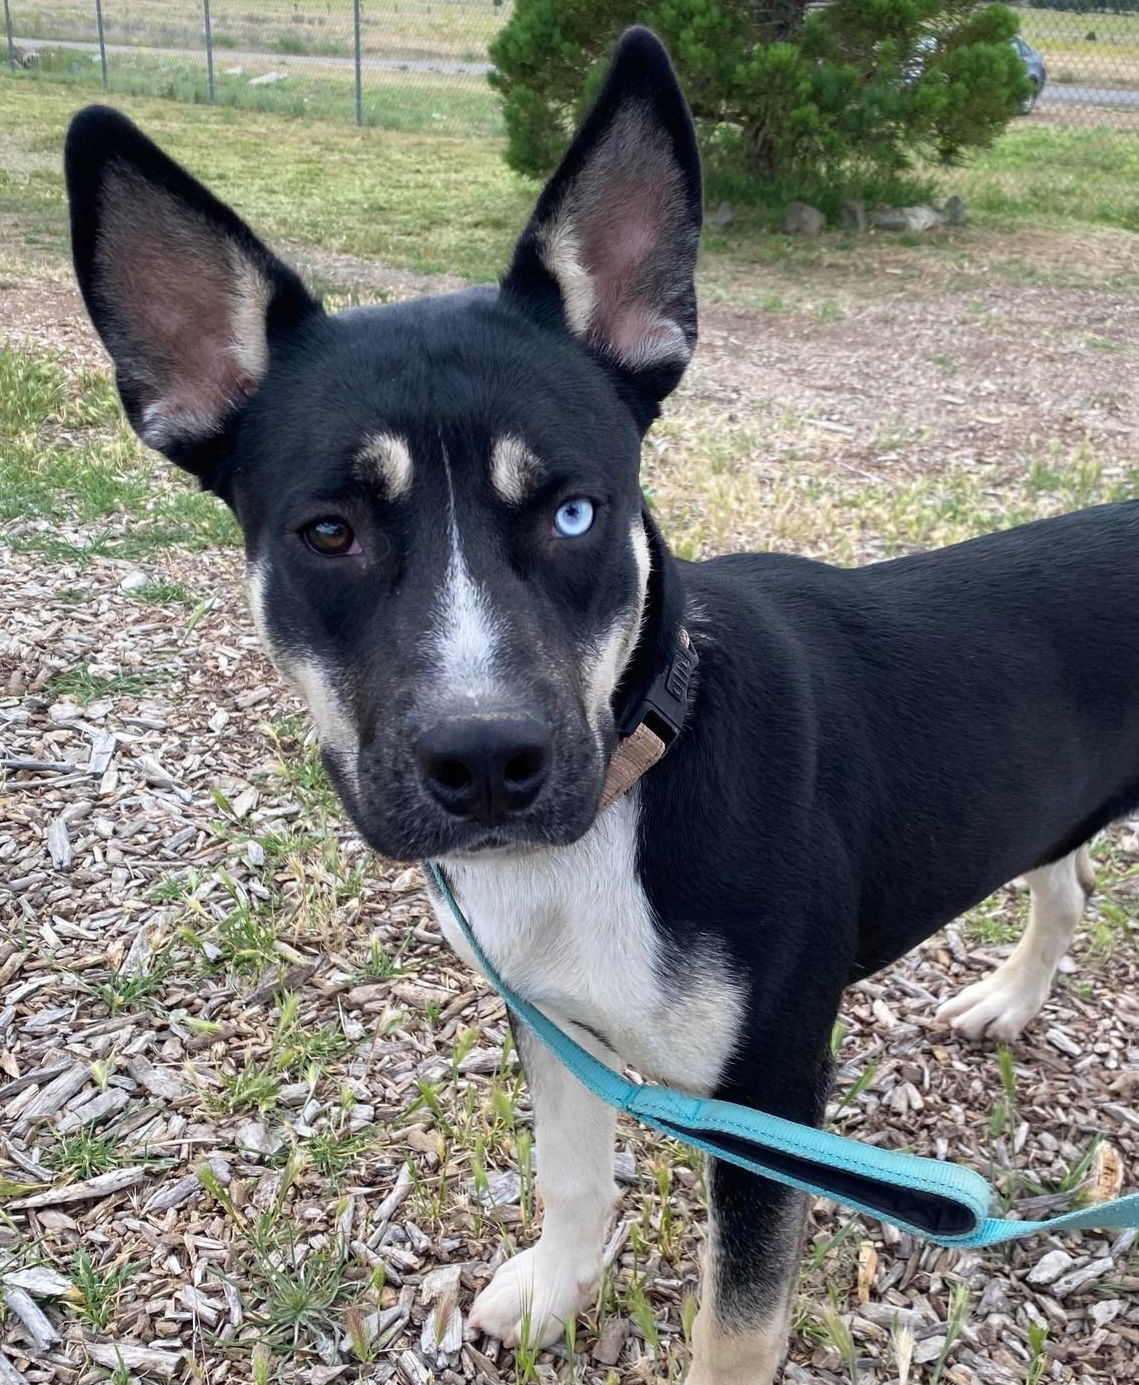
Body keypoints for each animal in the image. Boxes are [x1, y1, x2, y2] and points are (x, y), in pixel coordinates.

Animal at [66, 32, 1136, 1385]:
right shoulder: (552, 1018)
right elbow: (570, 1174)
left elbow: (736, 1320)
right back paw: (1008, 997)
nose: (484, 760)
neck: (630, 779)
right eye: (329, 532)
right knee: (1066, 879)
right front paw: (557, 1287)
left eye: (575, 512)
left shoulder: (771, 1098)